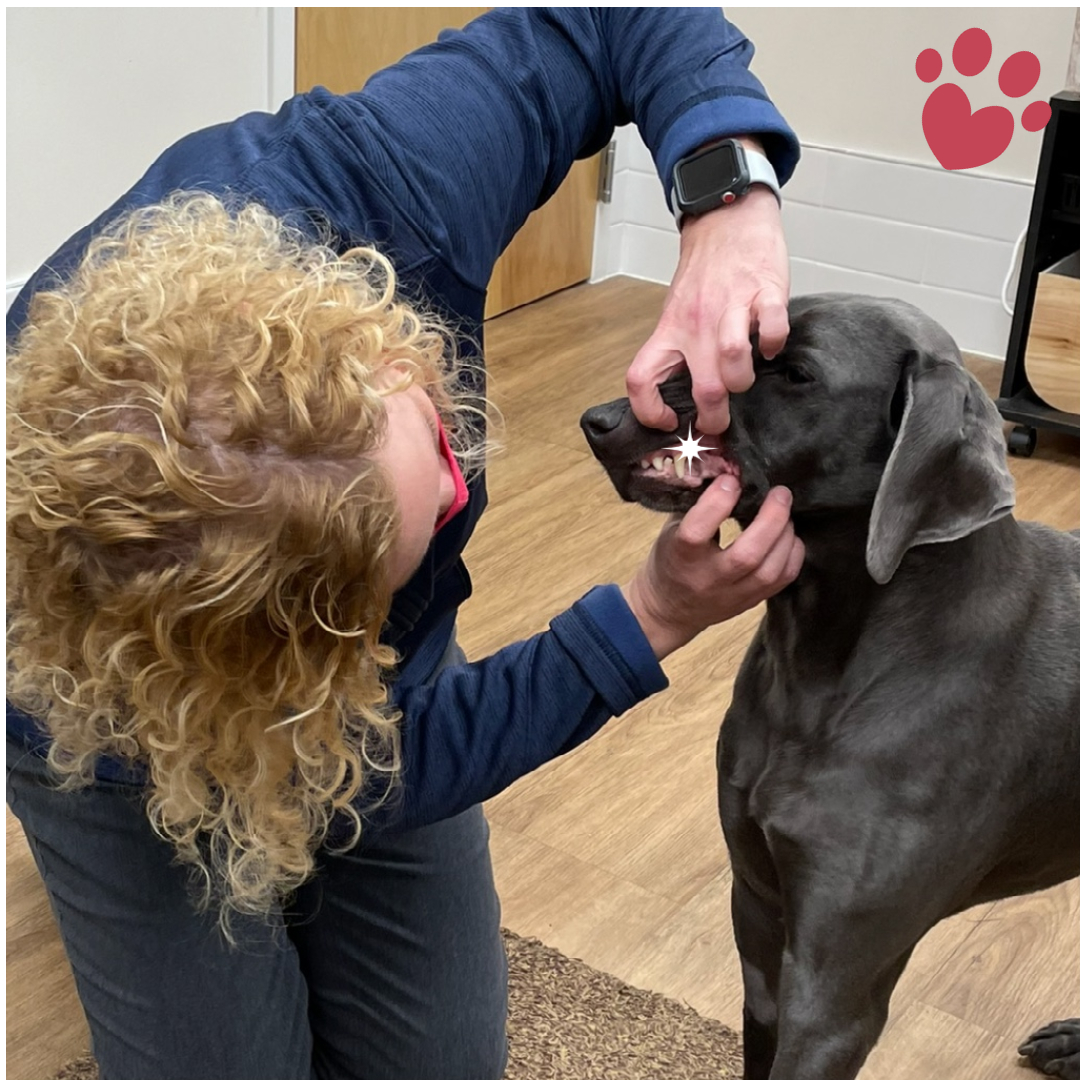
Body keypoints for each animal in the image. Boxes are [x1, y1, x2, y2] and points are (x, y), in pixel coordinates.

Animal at [587, 295, 1075, 1080]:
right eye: (740, 343)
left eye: (795, 373)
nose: (600, 420)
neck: (820, 666)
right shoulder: (759, 923)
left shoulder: (835, 995)